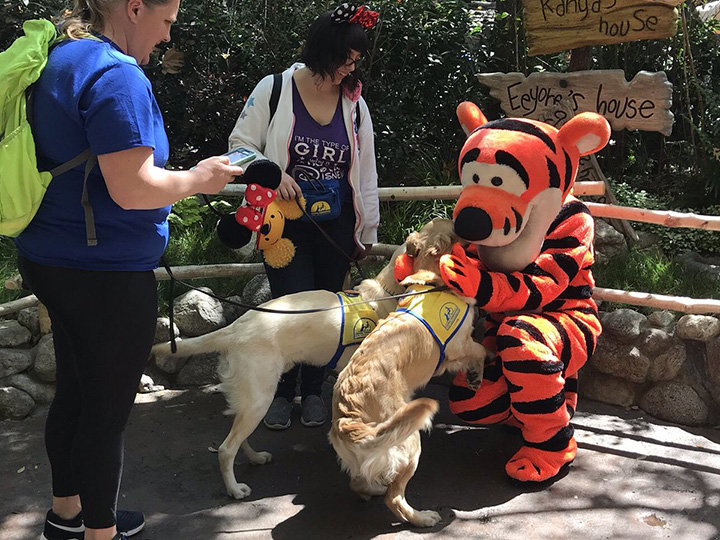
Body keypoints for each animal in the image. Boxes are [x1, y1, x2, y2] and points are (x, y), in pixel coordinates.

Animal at [153, 217, 458, 500]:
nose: (453, 216)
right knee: (226, 449)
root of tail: (235, 327)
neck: (386, 293)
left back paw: (255, 458)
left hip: (249, 399)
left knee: (238, 438)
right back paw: (235, 489)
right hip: (260, 396)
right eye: (450, 232)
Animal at [328, 229, 486, 528]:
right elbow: (482, 350)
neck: (432, 282)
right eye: (456, 230)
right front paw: (476, 375)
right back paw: (422, 518)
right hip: (409, 439)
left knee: (358, 482)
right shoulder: (460, 344)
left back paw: (373, 489)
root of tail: (347, 419)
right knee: (395, 498)